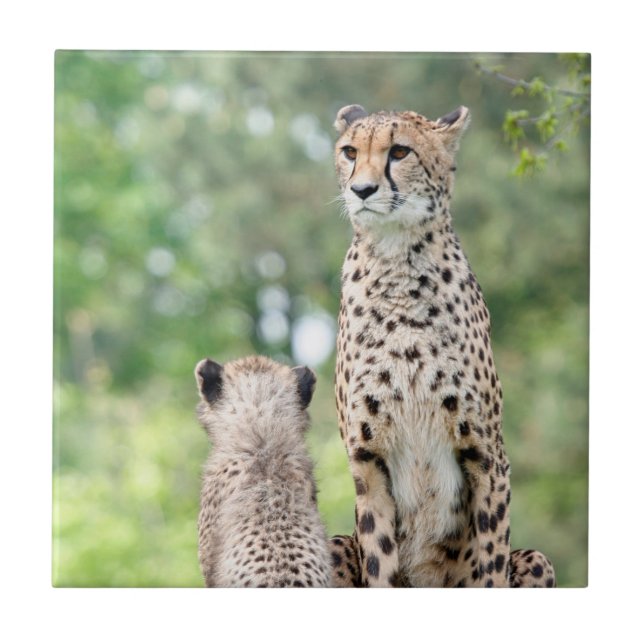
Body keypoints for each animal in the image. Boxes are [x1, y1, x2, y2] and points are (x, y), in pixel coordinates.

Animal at [331, 103, 555, 588]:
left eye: (399, 152)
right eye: (350, 152)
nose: (362, 190)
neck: (395, 262)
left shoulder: (487, 456)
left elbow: (489, 561)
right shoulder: (366, 461)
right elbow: (379, 561)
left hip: (537, 560)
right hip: (335, 546)